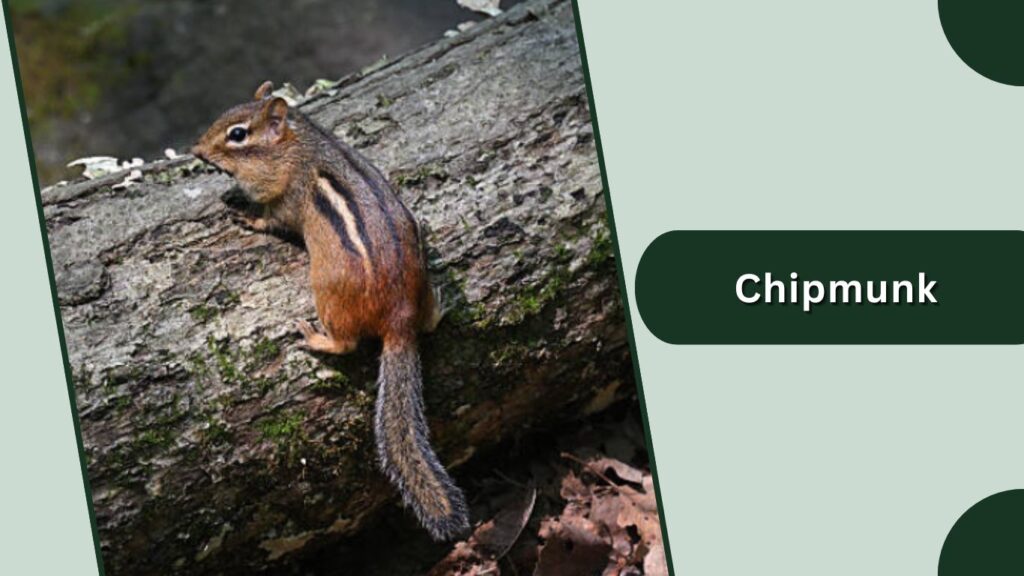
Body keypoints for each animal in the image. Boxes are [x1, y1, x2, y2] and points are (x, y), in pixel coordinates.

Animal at [191, 81, 469, 541]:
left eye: (237, 135)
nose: (195, 150)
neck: (299, 143)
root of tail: (400, 320)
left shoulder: (285, 199)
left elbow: (270, 220)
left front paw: (246, 216)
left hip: (326, 294)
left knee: (346, 344)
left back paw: (313, 337)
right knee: (427, 323)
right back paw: (439, 305)